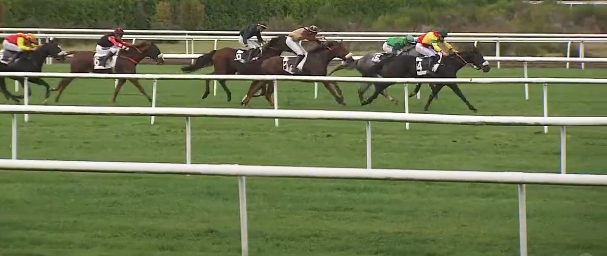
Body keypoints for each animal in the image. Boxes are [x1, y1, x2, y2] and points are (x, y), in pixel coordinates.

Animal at [358, 46, 492, 112]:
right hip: (393, 76)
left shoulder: (441, 83)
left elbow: (432, 94)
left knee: (379, 86)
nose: (487, 67)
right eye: (480, 57)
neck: (450, 63)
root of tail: (392, 58)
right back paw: (367, 101)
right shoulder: (451, 82)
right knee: (380, 86)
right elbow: (461, 94)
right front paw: (473, 108)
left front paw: (426, 107)